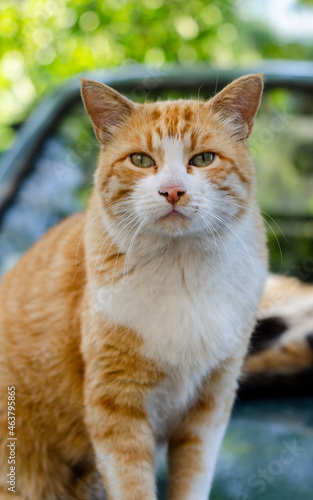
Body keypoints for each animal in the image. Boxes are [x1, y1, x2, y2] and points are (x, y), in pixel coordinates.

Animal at [0, 75, 266, 500]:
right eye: (141, 160)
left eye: (203, 159)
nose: (172, 190)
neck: (181, 270)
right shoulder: (115, 406)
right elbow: (132, 485)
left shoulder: (209, 408)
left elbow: (193, 480)